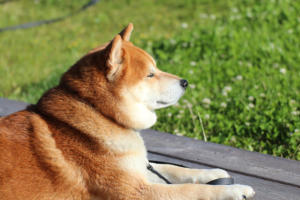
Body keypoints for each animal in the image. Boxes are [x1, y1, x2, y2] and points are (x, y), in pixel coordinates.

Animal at [0, 23, 254, 200]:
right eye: (150, 74)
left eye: (157, 68)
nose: (185, 82)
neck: (101, 114)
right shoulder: (136, 191)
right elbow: (191, 190)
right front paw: (234, 190)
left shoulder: (136, 168)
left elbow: (173, 169)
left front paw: (213, 173)